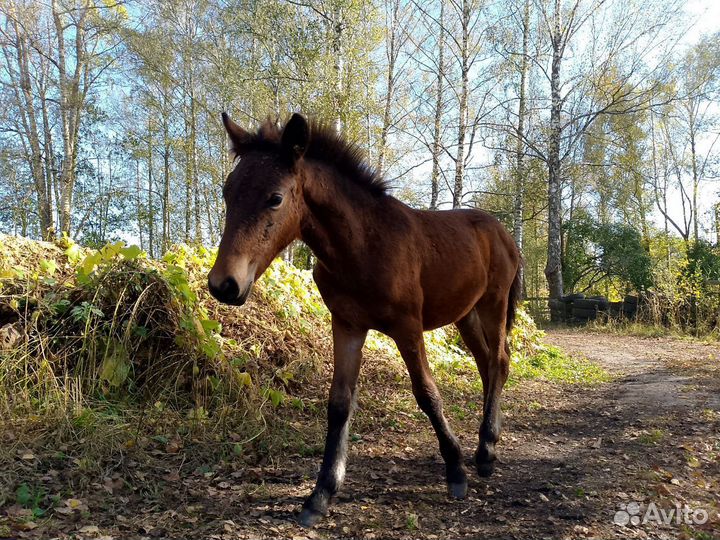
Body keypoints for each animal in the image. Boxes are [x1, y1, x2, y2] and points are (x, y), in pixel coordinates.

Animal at [210, 113, 524, 528]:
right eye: (228, 193)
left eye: (275, 198)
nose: (224, 285)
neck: (363, 246)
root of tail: (502, 231)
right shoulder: (347, 326)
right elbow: (340, 402)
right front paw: (320, 494)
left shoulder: (408, 328)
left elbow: (427, 394)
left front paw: (455, 471)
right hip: (465, 315)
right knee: (488, 364)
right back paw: (486, 443)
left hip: (493, 304)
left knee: (499, 361)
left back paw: (485, 453)